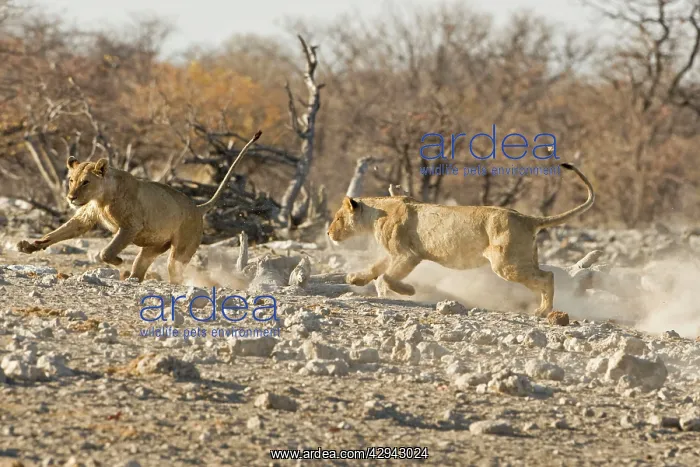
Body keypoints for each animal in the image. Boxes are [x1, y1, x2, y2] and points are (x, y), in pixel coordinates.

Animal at [17, 130, 262, 284]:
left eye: (85, 182)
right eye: (71, 180)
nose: (71, 198)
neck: (101, 198)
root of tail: (198, 206)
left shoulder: (130, 226)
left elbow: (107, 250)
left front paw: (116, 260)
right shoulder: (85, 218)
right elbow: (58, 233)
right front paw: (30, 246)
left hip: (181, 249)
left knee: (175, 270)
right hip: (152, 248)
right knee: (141, 267)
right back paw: (133, 279)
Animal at [327, 163, 595, 317]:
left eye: (338, 217)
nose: (329, 233)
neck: (378, 212)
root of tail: (527, 217)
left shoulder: (408, 254)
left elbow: (387, 276)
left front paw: (409, 290)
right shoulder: (393, 253)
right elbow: (376, 267)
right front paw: (354, 278)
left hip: (506, 263)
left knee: (547, 276)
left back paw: (543, 310)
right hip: (522, 259)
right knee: (544, 275)